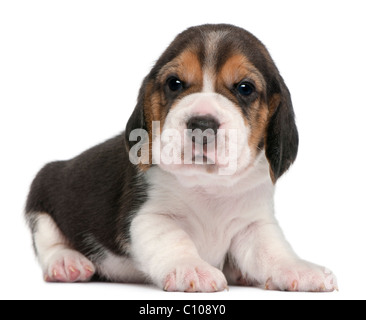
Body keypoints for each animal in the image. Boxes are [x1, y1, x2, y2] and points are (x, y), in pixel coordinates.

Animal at [25, 23, 338, 292]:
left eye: (245, 88)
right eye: (174, 83)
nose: (202, 124)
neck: (209, 186)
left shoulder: (253, 224)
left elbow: (272, 250)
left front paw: (299, 269)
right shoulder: (149, 216)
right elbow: (175, 240)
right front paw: (191, 268)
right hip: (42, 191)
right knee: (48, 242)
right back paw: (67, 262)